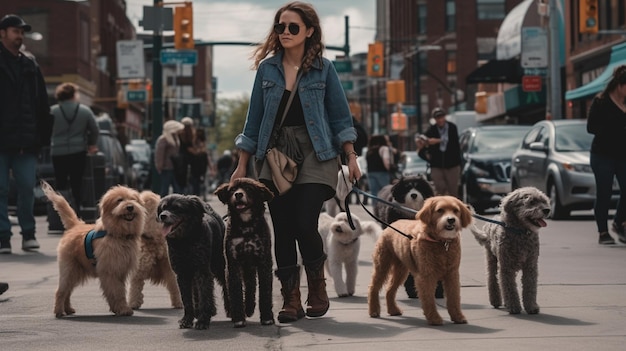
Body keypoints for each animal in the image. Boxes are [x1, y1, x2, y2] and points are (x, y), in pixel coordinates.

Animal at [42, 182, 147, 320]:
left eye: (133, 199)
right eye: (119, 200)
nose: (130, 207)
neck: (118, 234)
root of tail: (75, 226)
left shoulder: (120, 271)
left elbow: (117, 291)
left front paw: (117, 309)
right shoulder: (110, 271)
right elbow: (116, 291)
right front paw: (123, 309)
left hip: (77, 271)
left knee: (68, 291)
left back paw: (68, 309)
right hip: (69, 269)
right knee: (61, 290)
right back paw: (59, 311)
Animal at [156, 195, 229, 330]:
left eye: (177, 208)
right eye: (163, 208)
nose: (162, 216)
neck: (185, 241)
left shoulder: (202, 271)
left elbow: (205, 294)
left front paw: (203, 320)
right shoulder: (182, 273)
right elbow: (187, 299)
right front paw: (187, 319)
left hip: (220, 266)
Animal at [213, 180, 274, 328]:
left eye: (249, 188)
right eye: (232, 189)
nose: (238, 194)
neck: (246, 226)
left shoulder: (264, 261)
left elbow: (265, 290)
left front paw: (267, 317)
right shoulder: (232, 263)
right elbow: (235, 290)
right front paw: (239, 318)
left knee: (251, 286)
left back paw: (250, 307)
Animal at [366, 197, 468, 326]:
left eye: (456, 210)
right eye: (440, 210)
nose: (451, 220)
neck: (441, 243)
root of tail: (390, 226)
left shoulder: (452, 275)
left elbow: (454, 298)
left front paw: (458, 317)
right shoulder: (426, 276)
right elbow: (428, 299)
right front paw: (434, 318)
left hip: (400, 271)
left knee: (390, 289)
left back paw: (393, 310)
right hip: (382, 264)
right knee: (373, 287)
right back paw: (374, 310)